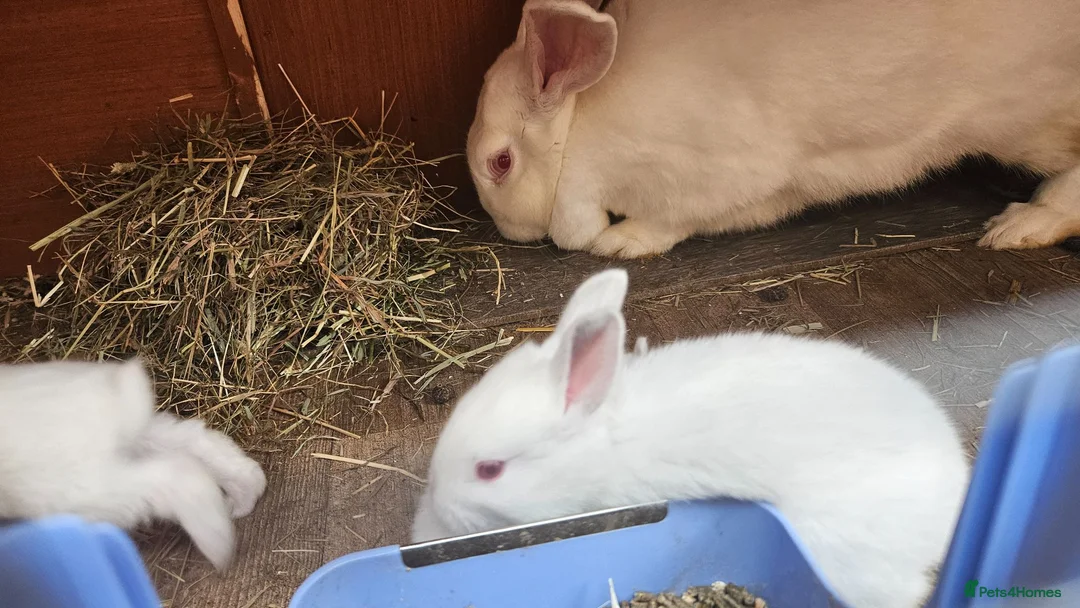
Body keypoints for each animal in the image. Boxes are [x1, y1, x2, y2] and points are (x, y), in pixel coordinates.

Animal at [0, 357, 266, 570]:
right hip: (142, 438)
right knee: (197, 443)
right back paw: (242, 500)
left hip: (81, 491)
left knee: (179, 478)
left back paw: (220, 548)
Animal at [465, 0, 1080, 259]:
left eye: (501, 162)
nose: (507, 231)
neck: (581, 128)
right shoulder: (779, 189)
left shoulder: (719, 175)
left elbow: (671, 220)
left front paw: (620, 243)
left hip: (1026, 116)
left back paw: (1022, 226)